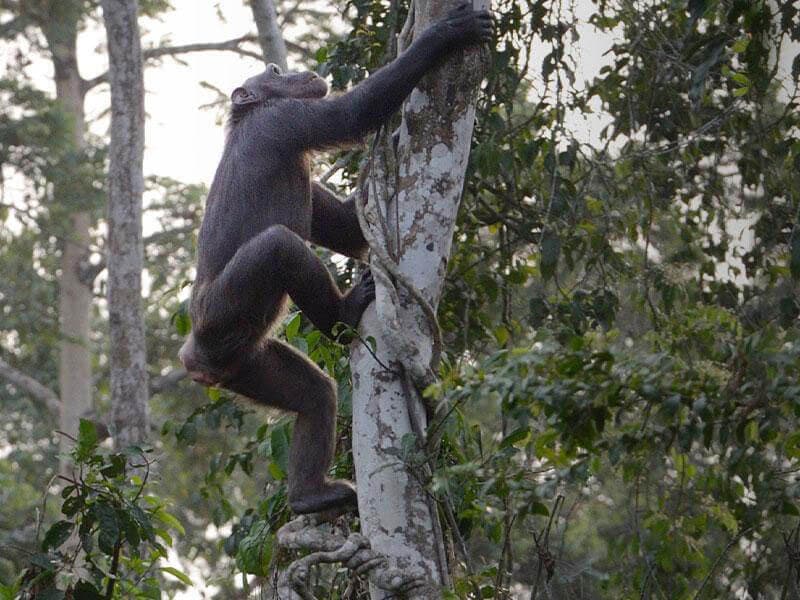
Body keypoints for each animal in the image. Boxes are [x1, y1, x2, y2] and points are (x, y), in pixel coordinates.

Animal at [179, 3, 493, 514]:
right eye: (274, 72)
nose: (294, 71)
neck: (248, 117)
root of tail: (197, 362)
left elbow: (346, 225)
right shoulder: (286, 120)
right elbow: (351, 114)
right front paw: (447, 35)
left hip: (248, 365)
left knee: (312, 394)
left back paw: (310, 496)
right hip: (220, 316)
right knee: (280, 246)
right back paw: (342, 314)